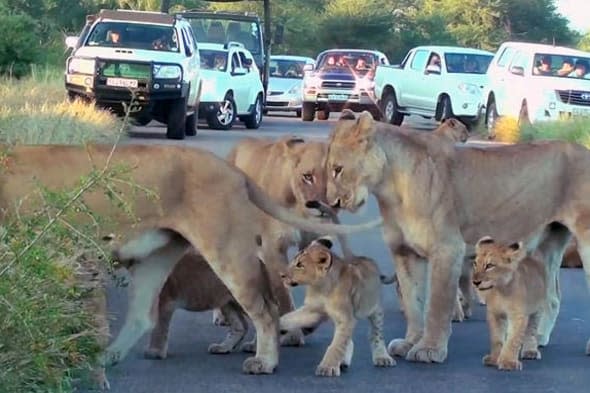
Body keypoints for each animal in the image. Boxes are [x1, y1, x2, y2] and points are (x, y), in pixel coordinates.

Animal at [0, 142, 382, 382]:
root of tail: (232, 169)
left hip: (225, 250)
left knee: (266, 310)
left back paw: (265, 361)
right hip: (155, 257)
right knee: (143, 316)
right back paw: (108, 357)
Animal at [278, 237, 398, 376]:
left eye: (300, 265)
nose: (281, 275)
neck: (320, 287)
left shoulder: (346, 318)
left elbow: (336, 346)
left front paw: (327, 367)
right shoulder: (314, 311)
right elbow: (290, 318)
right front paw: (275, 325)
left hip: (375, 309)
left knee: (376, 334)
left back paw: (382, 357)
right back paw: (344, 362)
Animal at [474, 236, 548, 370]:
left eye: (490, 265)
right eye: (475, 264)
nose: (475, 282)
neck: (500, 290)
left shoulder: (518, 316)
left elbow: (513, 339)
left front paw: (508, 362)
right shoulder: (494, 314)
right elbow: (496, 338)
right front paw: (494, 358)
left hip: (537, 310)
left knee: (531, 331)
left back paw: (530, 351)